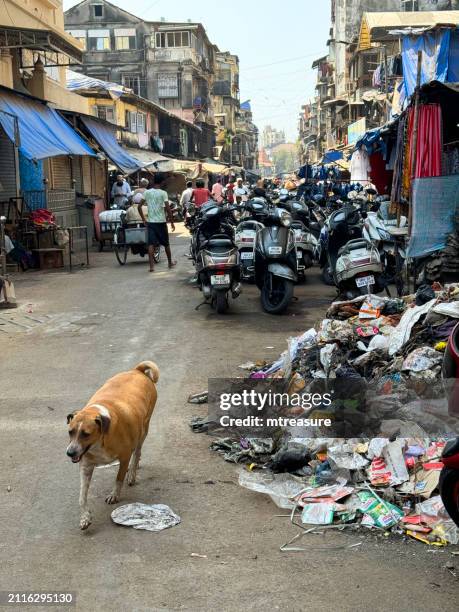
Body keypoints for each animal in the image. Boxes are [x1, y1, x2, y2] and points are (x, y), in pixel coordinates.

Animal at [65, 360, 160, 528]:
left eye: (85, 434)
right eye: (70, 432)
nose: (70, 453)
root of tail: (137, 371)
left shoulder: (124, 456)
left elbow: (118, 478)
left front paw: (115, 494)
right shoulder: (85, 465)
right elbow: (82, 496)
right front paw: (85, 518)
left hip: (144, 428)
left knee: (137, 452)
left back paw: (132, 473)